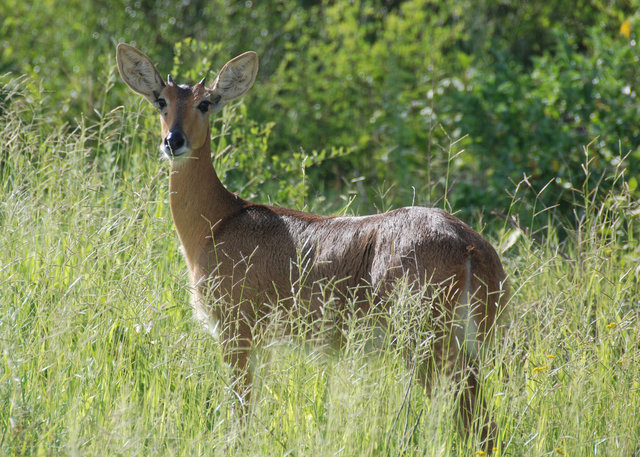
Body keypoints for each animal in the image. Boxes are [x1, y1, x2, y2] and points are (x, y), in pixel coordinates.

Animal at [116, 42, 510, 448]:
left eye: (205, 103)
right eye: (160, 100)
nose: (173, 141)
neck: (217, 223)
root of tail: (474, 250)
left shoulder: (236, 326)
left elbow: (240, 412)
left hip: (426, 337)